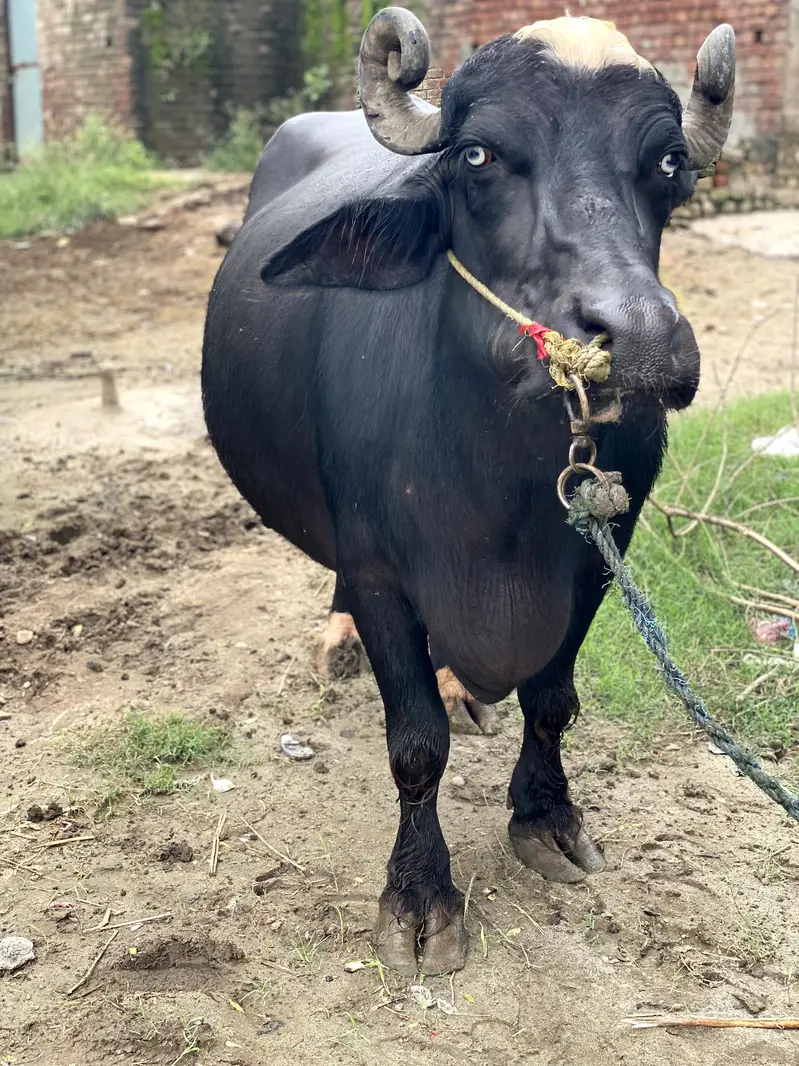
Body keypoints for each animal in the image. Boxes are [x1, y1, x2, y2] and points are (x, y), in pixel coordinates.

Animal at [202, 9, 735, 975]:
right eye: (480, 154)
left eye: (669, 162)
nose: (639, 341)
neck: (501, 484)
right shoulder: (379, 570)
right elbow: (415, 744)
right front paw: (419, 895)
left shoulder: (599, 558)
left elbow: (552, 699)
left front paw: (546, 817)